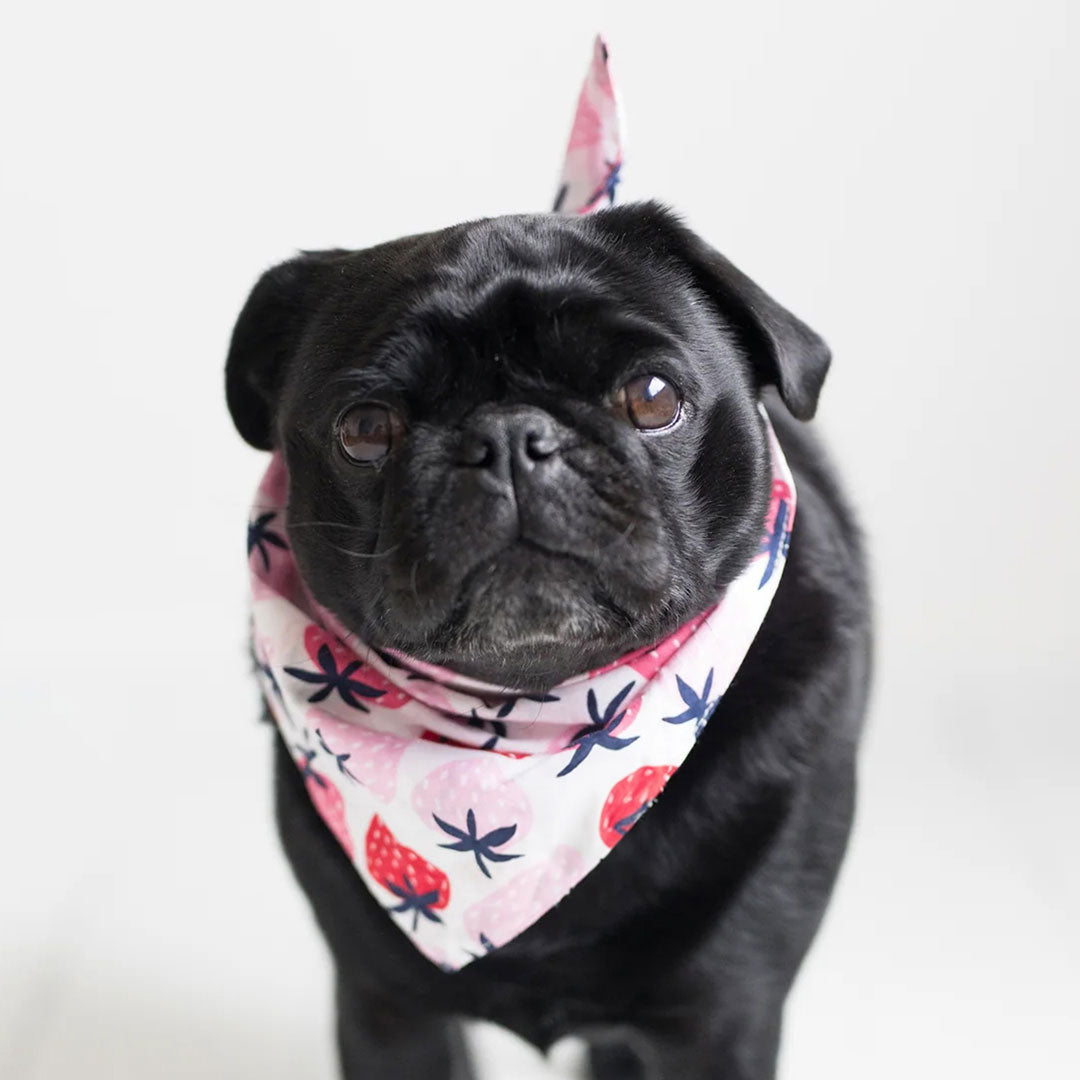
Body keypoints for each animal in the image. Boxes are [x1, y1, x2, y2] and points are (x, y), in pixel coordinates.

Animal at [225, 204, 868, 1080]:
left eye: (651, 397)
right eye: (365, 429)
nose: (507, 438)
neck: (532, 725)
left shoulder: (722, 1018)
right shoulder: (385, 1010)